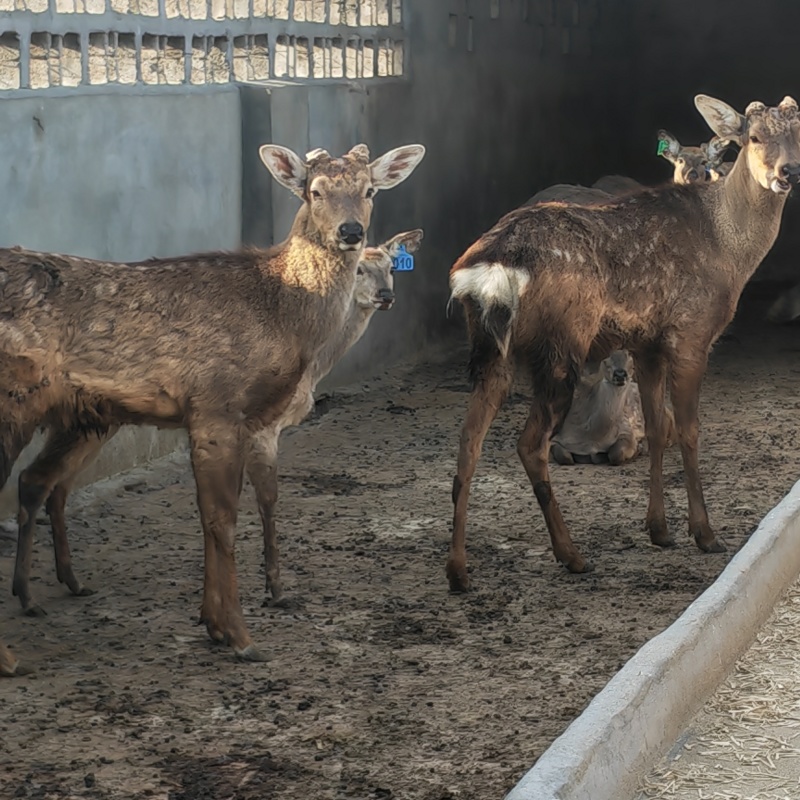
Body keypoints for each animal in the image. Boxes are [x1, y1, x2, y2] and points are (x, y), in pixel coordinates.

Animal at [0, 142, 425, 660]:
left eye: (369, 190)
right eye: (315, 190)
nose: (351, 232)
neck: (284, 316)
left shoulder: (244, 419)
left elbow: (218, 513)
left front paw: (214, 624)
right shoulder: (216, 404)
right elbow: (222, 517)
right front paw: (241, 636)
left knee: (38, 481)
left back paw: (34, 596)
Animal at [446, 94, 800, 592]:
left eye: (799, 132)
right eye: (753, 136)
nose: (788, 172)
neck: (730, 252)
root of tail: (490, 269)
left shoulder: (646, 344)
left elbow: (656, 427)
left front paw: (659, 531)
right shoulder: (691, 332)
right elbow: (688, 429)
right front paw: (704, 534)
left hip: (490, 348)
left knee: (467, 441)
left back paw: (458, 571)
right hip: (561, 344)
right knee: (529, 443)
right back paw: (571, 555)